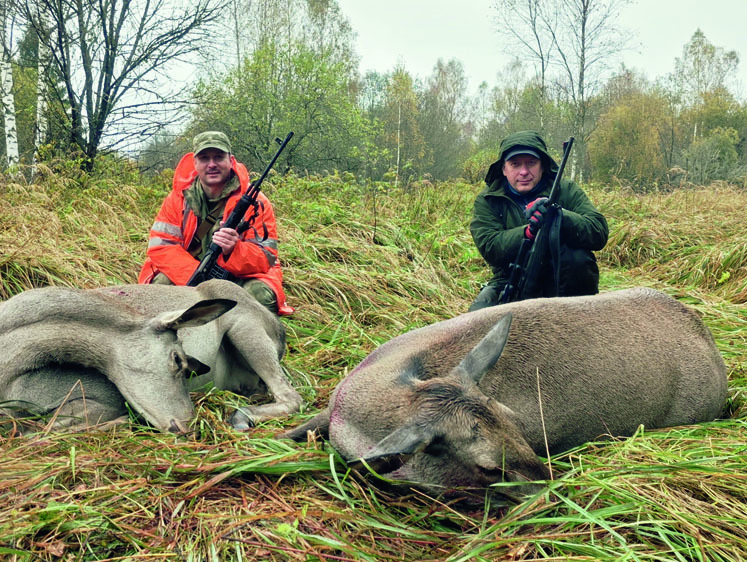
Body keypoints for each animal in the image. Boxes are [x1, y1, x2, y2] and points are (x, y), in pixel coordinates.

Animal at [2, 280, 300, 434]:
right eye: (179, 360)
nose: (187, 425)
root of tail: (279, 328)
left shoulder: (103, 398)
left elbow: (37, 432)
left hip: (245, 327)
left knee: (291, 396)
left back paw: (240, 416)